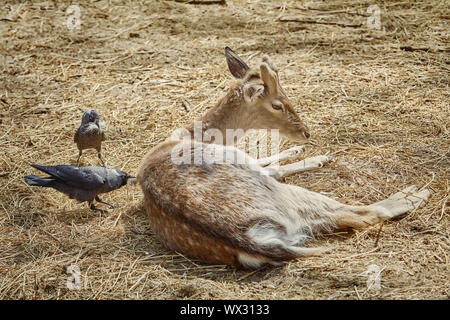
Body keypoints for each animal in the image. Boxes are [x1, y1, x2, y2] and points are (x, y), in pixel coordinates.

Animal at [136, 47, 428, 268]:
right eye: (276, 104)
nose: (306, 133)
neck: (193, 136)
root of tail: (249, 240)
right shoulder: (242, 160)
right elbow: (273, 167)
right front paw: (319, 155)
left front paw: (308, 153)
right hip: (284, 197)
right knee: (362, 214)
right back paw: (413, 194)